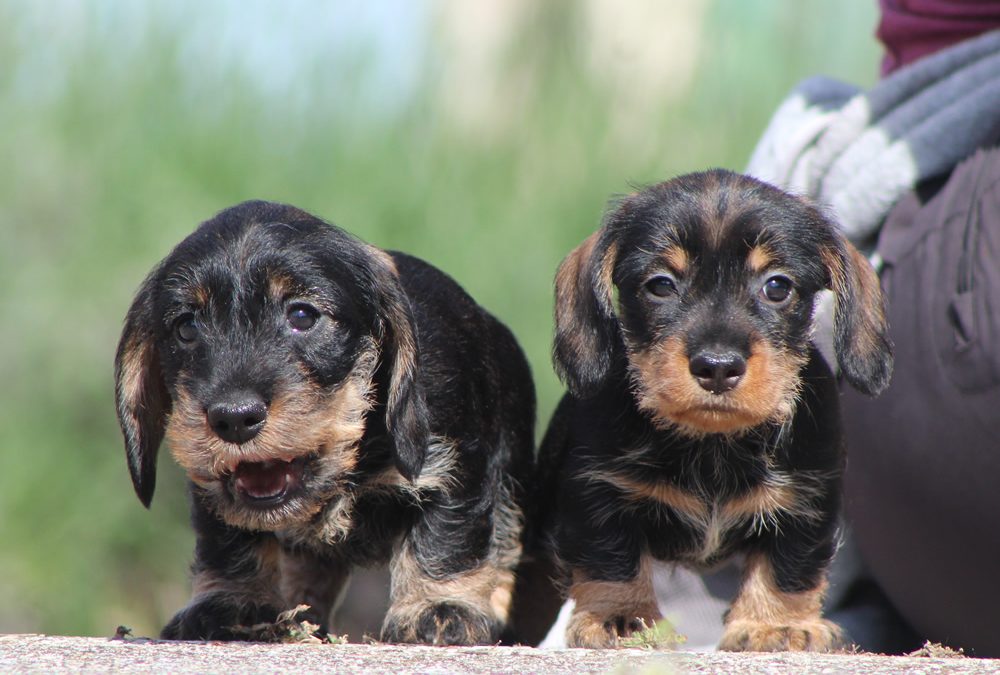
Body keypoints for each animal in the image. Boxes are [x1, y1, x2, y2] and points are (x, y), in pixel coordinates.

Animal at [115, 199, 540, 644]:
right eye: (186, 327)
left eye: (302, 315)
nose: (233, 417)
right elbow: (229, 543)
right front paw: (231, 603)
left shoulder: (456, 467)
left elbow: (445, 537)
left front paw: (438, 608)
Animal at [544, 172, 896, 652]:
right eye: (660, 284)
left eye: (777, 286)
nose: (716, 367)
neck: (712, 443)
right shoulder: (598, 494)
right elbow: (612, 559)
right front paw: (624, 618)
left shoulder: (806, 504)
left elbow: (787, 567)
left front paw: (775, 625)